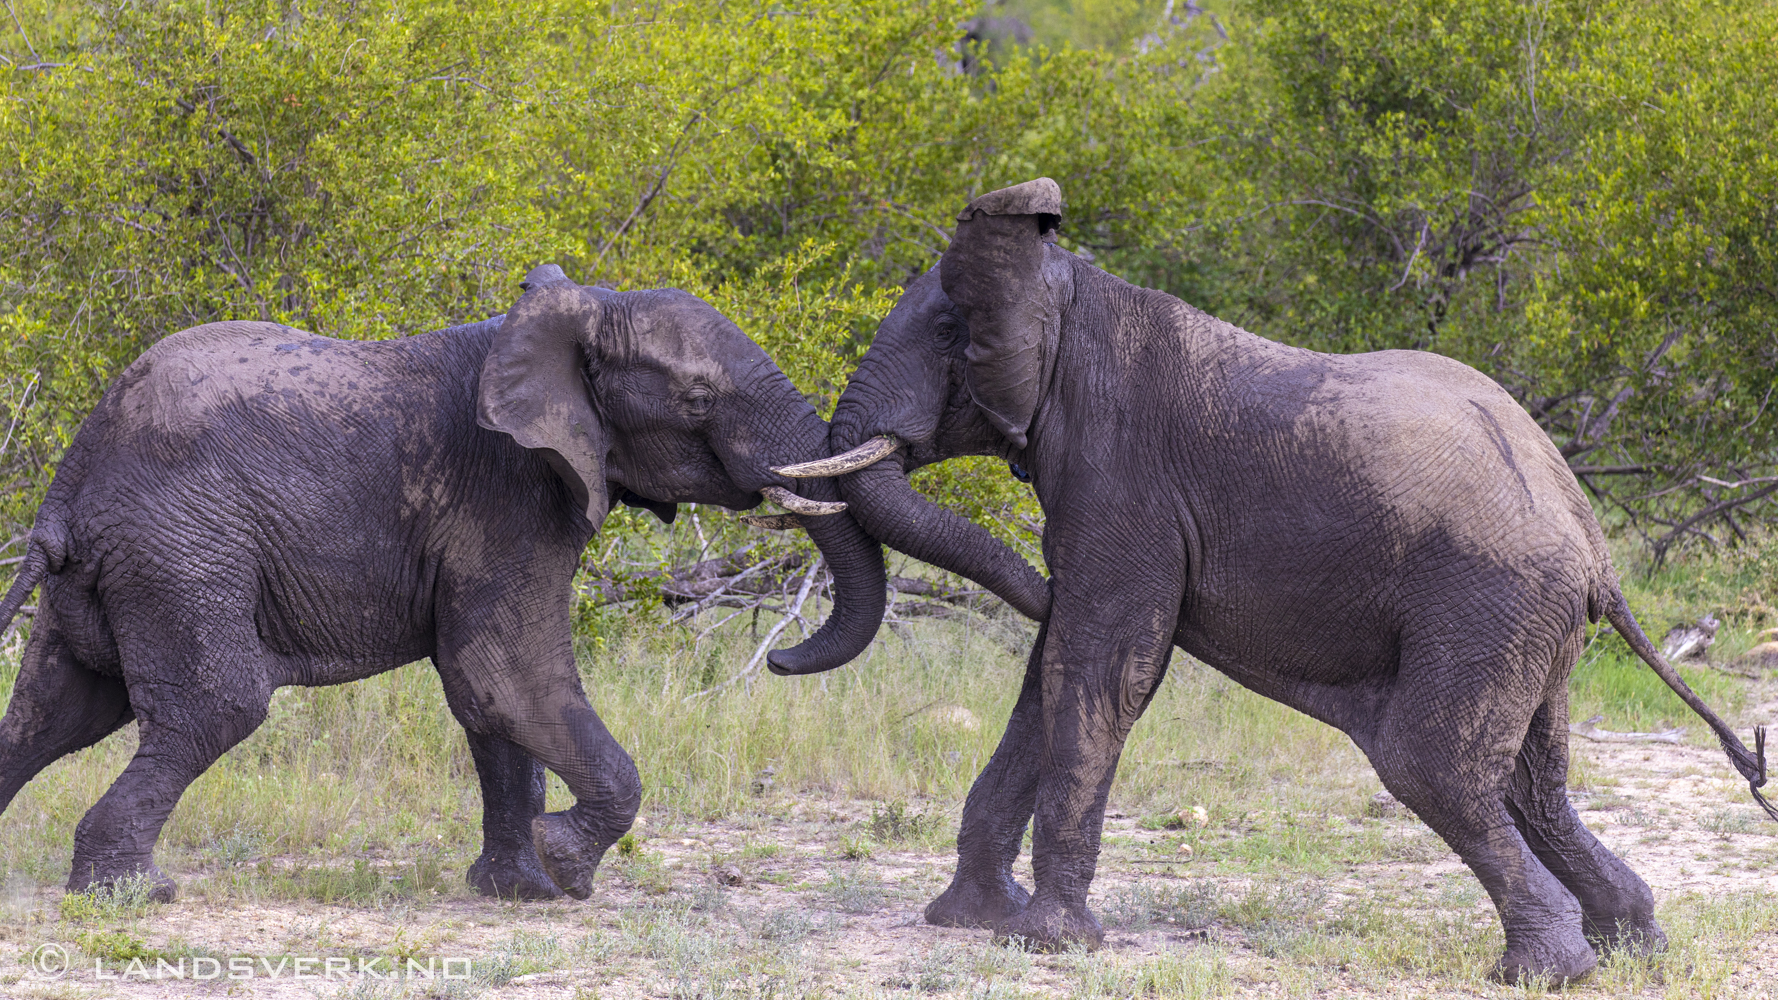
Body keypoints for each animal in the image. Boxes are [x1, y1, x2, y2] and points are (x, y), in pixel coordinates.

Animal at [0, 265, 881, 903]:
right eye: (698, 399)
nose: (778, 659)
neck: (566, 318)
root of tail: (74, 474)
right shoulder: (504, 495)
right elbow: (507, 675)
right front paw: (565, 866)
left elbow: (487, 697)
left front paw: (518, 889)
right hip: (182, 550)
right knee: (217, 706)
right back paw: (134, 895)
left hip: (124, 566)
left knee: (55, 712)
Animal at [785, 180, 1770, 982]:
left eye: (948, 332)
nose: (780, 661)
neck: (1074, 290)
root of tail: (1593, 537)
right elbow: (1058, 665)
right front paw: (973, 924)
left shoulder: (1119, 476)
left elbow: (1100, 667)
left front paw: (1049, 944)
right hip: (1534, 626)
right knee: (1533, 780)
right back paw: (1631, 946)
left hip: (1488, 605)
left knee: (1432, 765)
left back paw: (1545, 971)